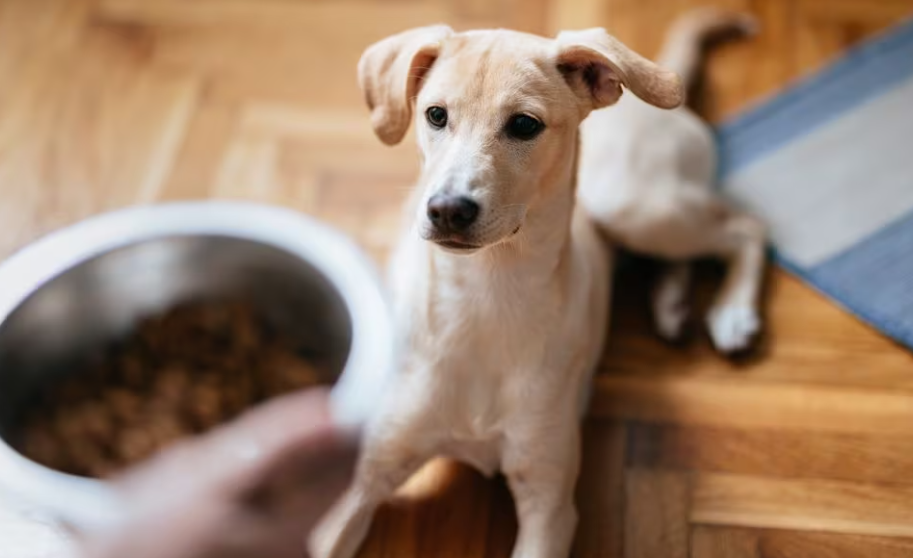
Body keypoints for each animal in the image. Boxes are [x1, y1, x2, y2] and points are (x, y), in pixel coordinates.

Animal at [312, 8, 764, 558]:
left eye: (525, 125)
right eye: (435, 115)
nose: (447, 210)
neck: (485, 297)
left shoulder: (548, 501)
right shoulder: (359, 483)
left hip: (634, 207)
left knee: (744, 228)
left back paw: (732, 314)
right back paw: (673, 305)